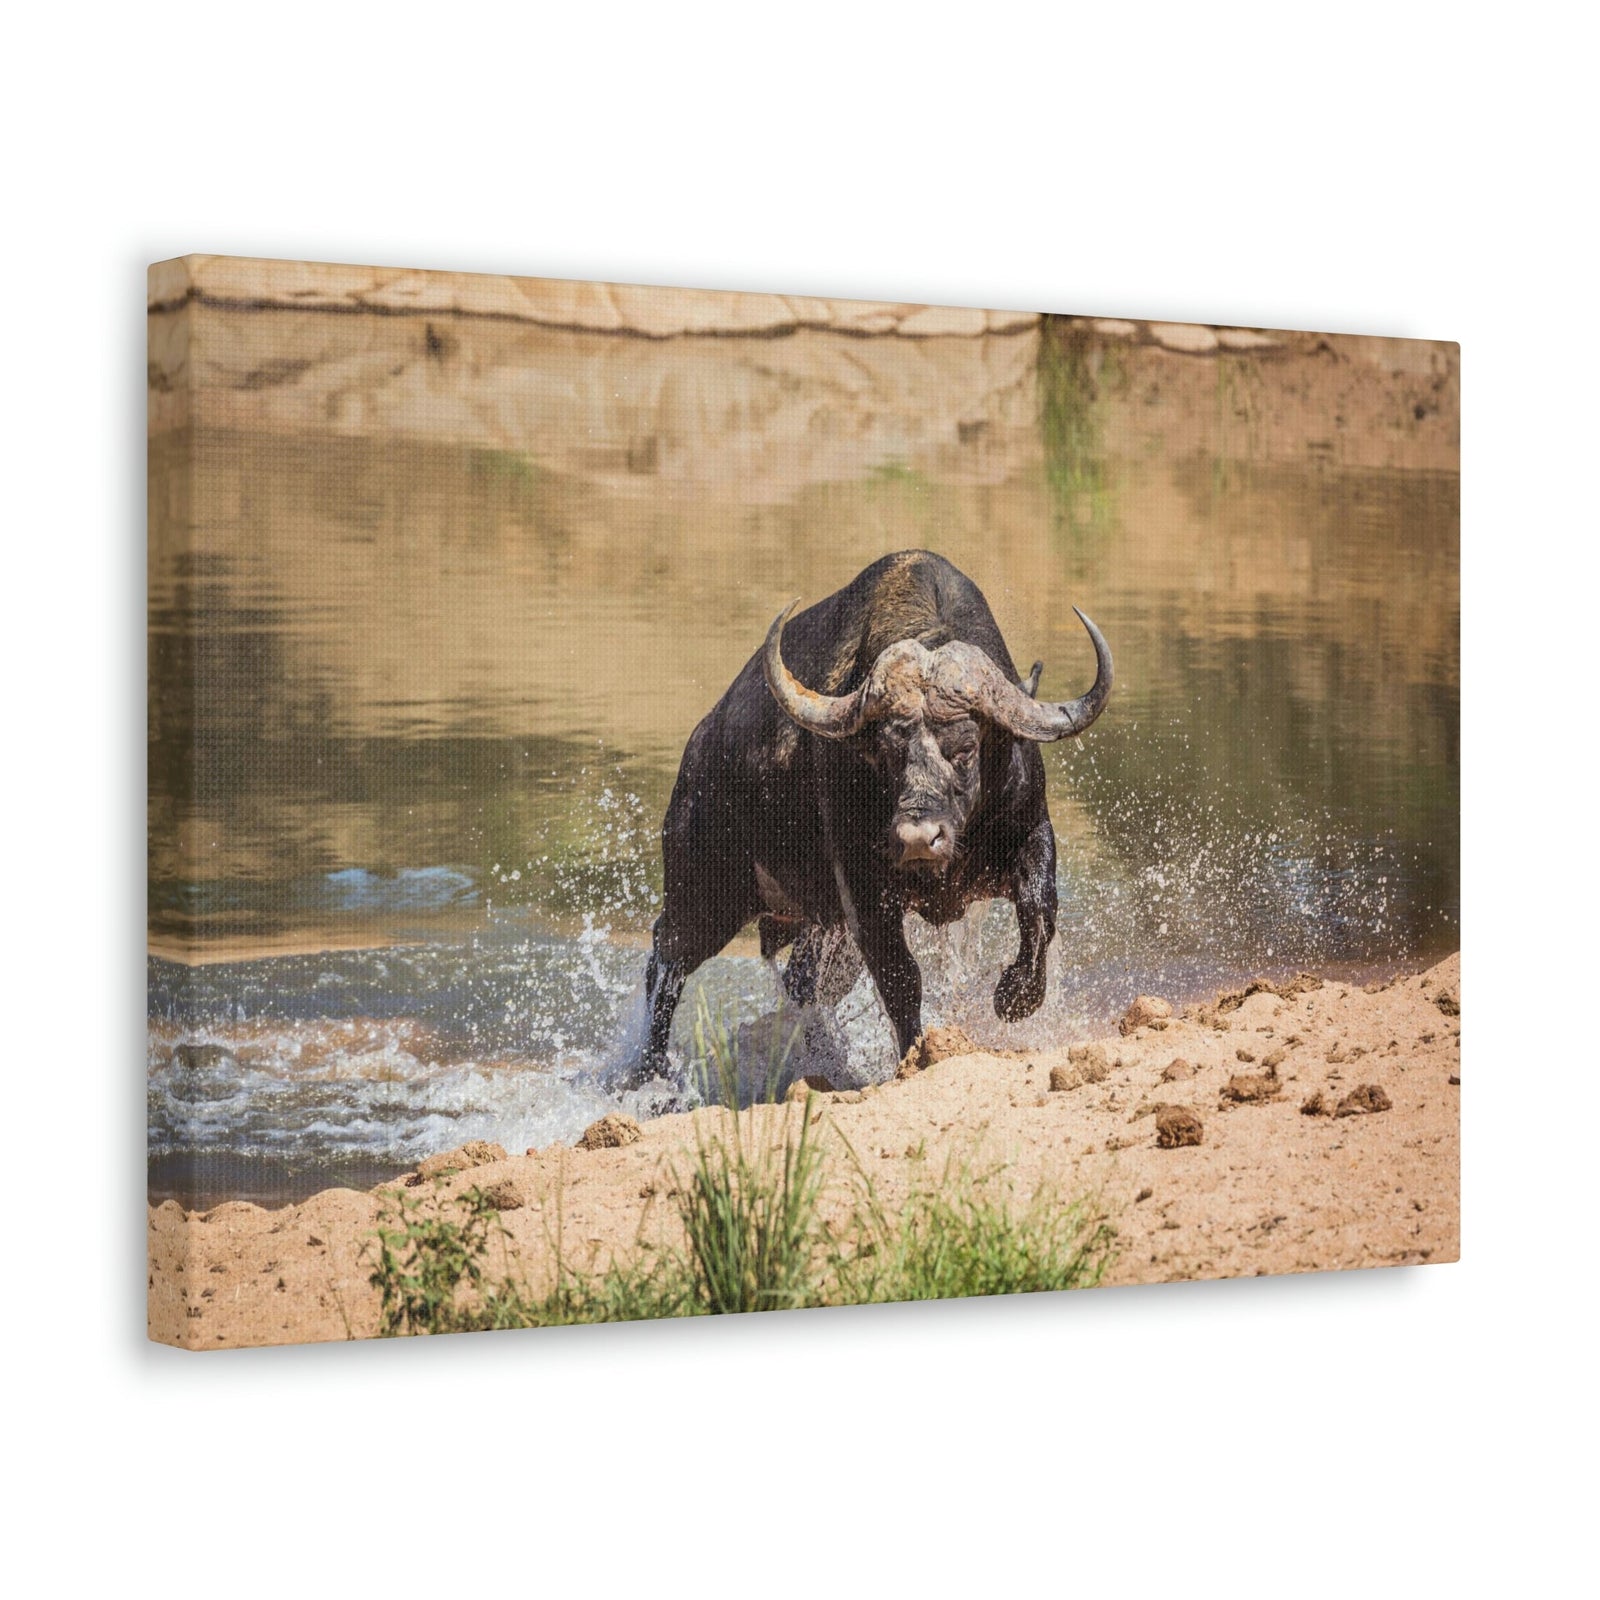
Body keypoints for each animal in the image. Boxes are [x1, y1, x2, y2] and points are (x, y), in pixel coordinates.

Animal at [638, 549, 1111, 1080]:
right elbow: (900, 977)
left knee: (802, 982)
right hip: (704, 894)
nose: (918, 838)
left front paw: (1015, 997)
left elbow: (1039, 911)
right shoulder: (863, 888)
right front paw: (917, 1054)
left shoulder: (1030, 831)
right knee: (666, 961)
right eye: (886, 752)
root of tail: (700, 747)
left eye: (966, 747)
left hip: (819, 926)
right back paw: (649, 1072)